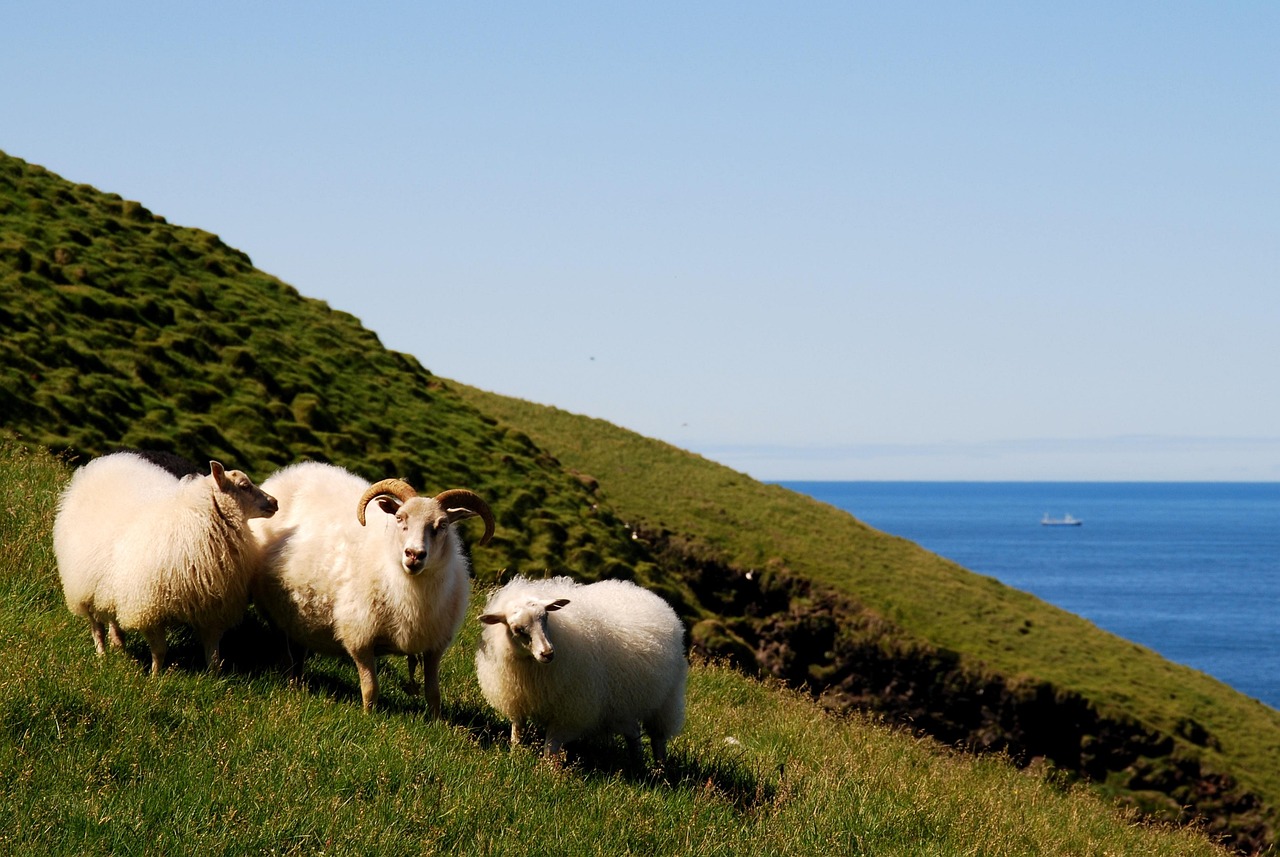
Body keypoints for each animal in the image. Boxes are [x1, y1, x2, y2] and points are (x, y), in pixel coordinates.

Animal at [53, 452, 280, 675]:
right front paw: (155, 678)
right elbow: (160, 650)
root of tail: (101, 466)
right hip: (82, 585)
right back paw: (102, 656)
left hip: (111, 585)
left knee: (112, 619)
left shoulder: (212, 608)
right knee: (97, 627)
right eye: (244, 486)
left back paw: (118, 646)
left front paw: (214, 678)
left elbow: (213, 654)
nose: (275, 502)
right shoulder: (149, 608)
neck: (199, 518)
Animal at [249, 465, 494, 716]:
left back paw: (297, 684)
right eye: (399, 518)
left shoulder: (434, 644)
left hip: (300, 618)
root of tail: (290, 473)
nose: (414, 554)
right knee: (285, 649)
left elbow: (433, 693)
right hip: (273, 609)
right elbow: (370, 687)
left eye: (442, 525)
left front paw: (435, 720)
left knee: (299, 652)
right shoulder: (360, 636)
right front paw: (369, 716)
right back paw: (289, 681)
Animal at [476, 578, 686, 767]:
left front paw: (548, 771)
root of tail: (649, 595)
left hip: (666, 700)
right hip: (623, 702)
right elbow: (517, 733)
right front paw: (515, 756)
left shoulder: (569, 710)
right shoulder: (517, 700)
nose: (548, 653)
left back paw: (660, 770)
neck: (532, 666)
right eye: (518, 629)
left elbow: (551, 746)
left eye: (546, 618)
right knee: (633, 733)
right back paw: (637, 764)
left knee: (658, 739)